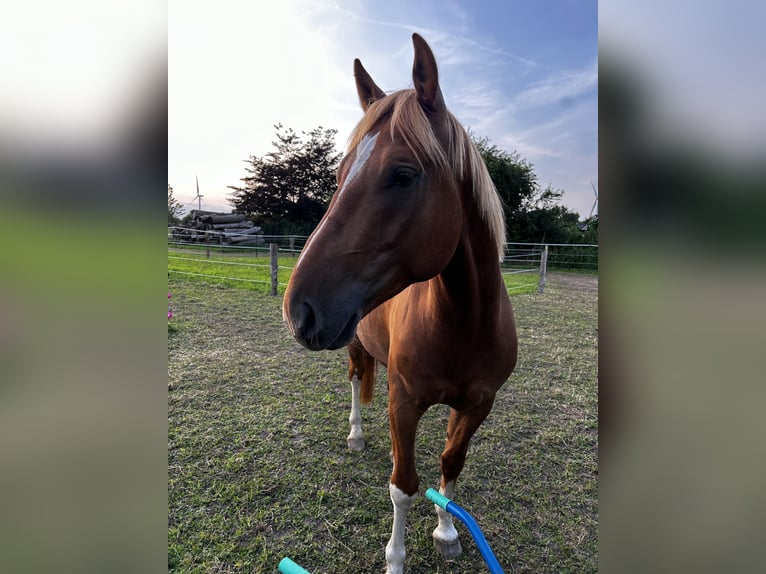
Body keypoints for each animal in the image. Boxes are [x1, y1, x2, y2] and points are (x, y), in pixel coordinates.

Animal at [284, 33, 520, 572]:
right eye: (339, 174)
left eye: (403, 175)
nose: (298, 308)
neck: (462, 323)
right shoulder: (404, 402)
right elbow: (403, 487)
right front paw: (395, 558)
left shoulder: (478, 404)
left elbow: (450, 464)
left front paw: (447, 532)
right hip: (354, 348)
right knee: (355, 382)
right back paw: (355, 435)